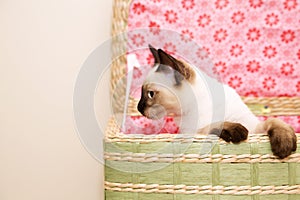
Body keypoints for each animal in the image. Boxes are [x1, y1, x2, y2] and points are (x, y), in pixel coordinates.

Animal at [137, 44, 296, 159]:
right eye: (144, 93)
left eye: (150, 94)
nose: (139, 108)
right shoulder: (191, 132)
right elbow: (215, 125)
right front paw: (235, 130)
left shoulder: (254, 128)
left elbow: (274, 121)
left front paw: (284, 145)